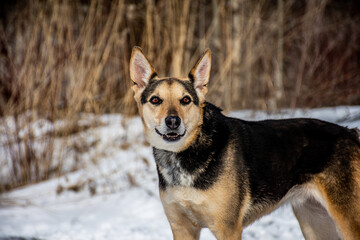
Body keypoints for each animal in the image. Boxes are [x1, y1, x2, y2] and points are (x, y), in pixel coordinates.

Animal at [129, 46, 360, 239]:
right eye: (155, 100)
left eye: (185, 100)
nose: (173, 121)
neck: (187, 152)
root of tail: (351, 133)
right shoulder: (182, 227)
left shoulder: (227, 228)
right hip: (313, 221)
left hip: (347, 221)